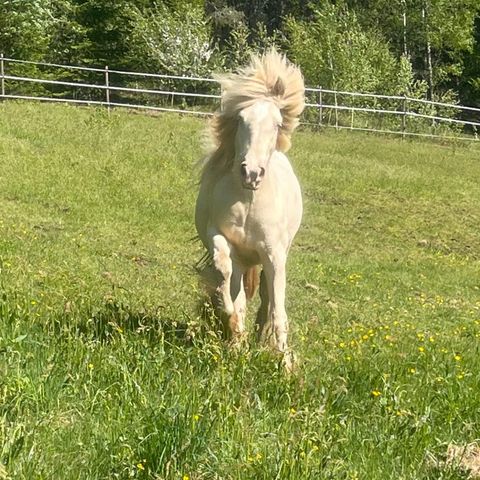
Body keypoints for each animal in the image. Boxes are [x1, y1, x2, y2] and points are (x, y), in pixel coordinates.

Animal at [195, 50, 304, 368]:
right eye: (241, 119)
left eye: (278, 123)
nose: (251, 173)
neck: (248, 202)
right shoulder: (220, 237)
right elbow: (223, 270)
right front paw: (230, 323)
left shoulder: (274, 255)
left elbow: (277, 309)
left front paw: (285, 364)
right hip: (245, 260)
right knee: (241, 291)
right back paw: (240, 340)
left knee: (267, 299)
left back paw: (258, 341)